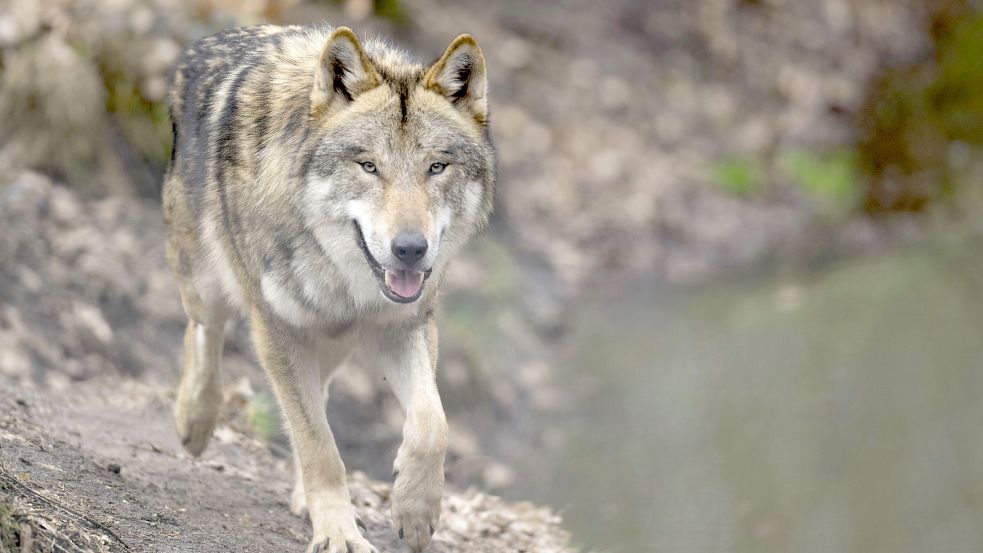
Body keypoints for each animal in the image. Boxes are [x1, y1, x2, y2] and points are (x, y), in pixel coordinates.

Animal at [164, 22, 496, 552]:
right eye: (368, 166)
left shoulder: (404, 327)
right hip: (207, 282)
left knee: (317, 392)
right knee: (203, 333)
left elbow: (432, 423)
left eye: (436, 167)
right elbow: (318, 445)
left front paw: (415, 510)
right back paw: (194, 420)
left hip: (334, 340)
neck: (343, 276)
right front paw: (340, 533)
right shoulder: (276, 330)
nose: (410, 249)